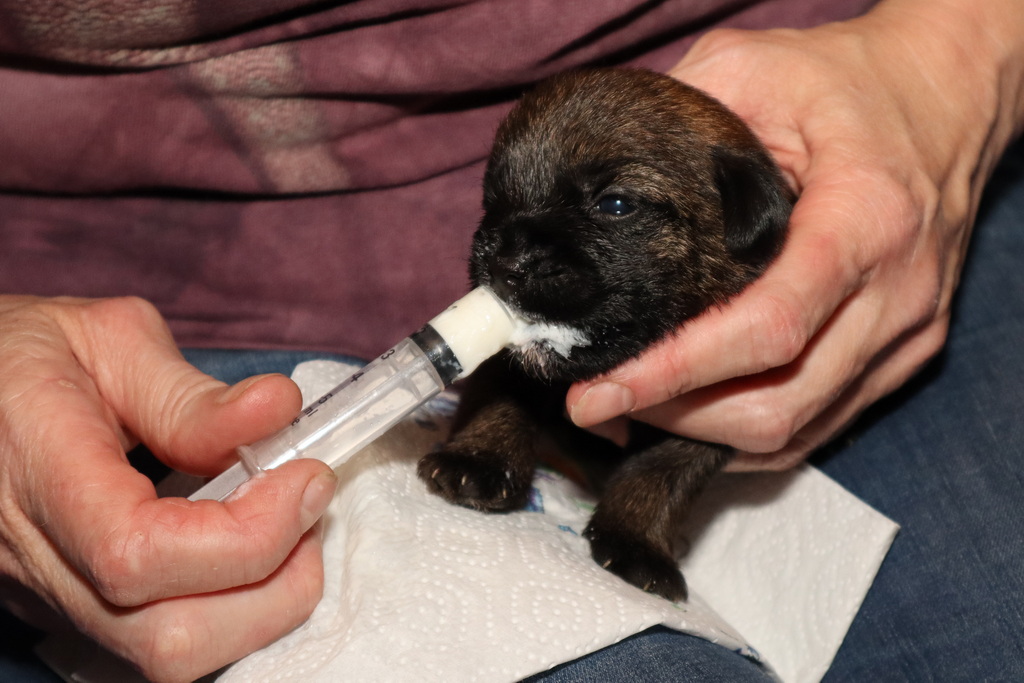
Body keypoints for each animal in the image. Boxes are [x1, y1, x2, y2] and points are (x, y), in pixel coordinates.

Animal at [417, 67, 791, 600]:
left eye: (616, 204)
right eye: (493, 199)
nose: (504, 260)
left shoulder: (720, 411)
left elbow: (666, 468)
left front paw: (635, 539)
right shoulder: (510, 359)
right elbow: (501, 393)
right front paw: (478, 460)